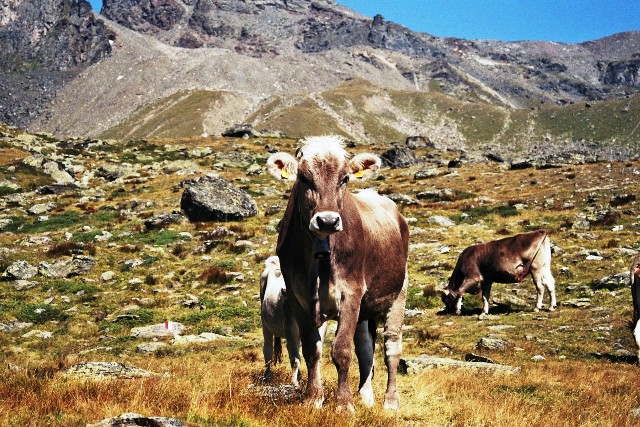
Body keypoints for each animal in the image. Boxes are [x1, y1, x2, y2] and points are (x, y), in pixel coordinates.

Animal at [258, 256, 302, 386]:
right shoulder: (290, 327)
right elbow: (295, 358)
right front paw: (295, 383)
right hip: (265, 324)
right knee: (268, 350)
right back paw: (267, 376)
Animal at [266, 136, 410, 412]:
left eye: (345, 178)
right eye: (303, 177)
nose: (328, 221)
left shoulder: (351, 292)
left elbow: (342, 350)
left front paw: (343, 404)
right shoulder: (298, 297)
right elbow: (312, 350)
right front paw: (313, 398)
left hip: (398, 293)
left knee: (391, 348)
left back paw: (391, 401)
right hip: (365, 311)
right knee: (365, 348)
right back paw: (365, 396)